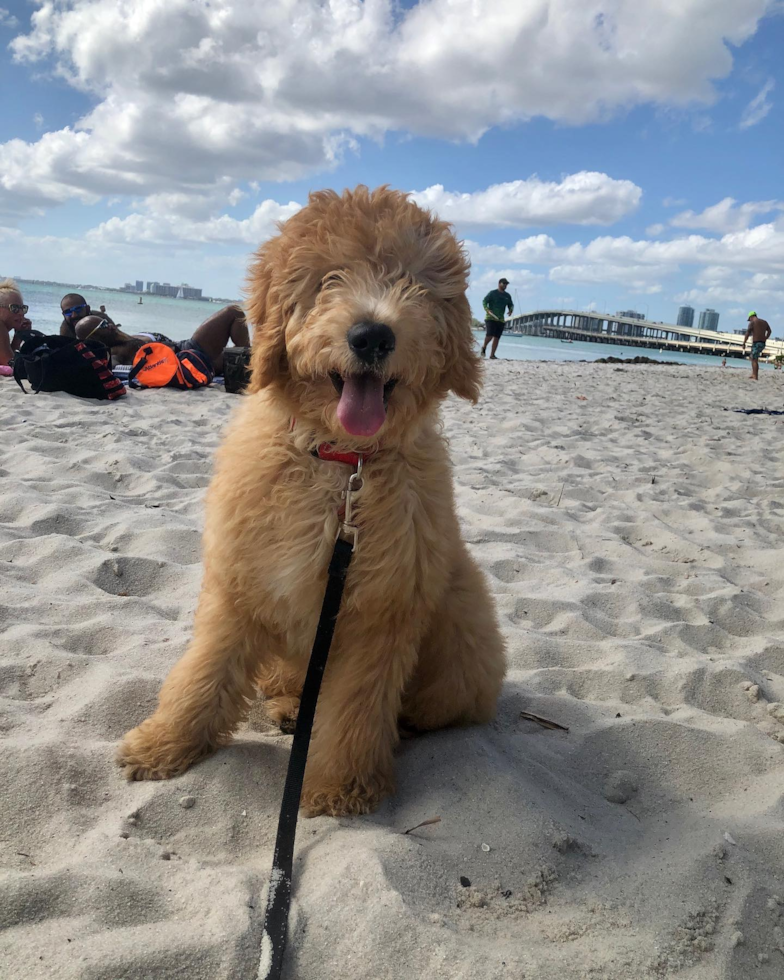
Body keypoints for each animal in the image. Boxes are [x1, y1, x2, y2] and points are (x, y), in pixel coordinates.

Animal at [118, 188, 508, 816]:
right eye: (329, 278)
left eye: (413, 282)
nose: (373, 335)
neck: (341, 464)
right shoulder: (240, 581)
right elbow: (204, 670)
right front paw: (163, 744)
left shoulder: (381, 611)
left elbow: (355, 709)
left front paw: (339, 788)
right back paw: (285, 706)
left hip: (466, 636)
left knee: (421, 706)